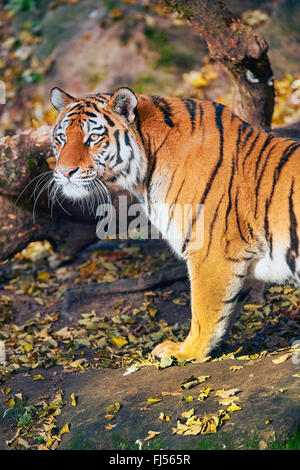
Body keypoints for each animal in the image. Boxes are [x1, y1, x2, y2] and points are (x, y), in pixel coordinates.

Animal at [48, 86, 300, 362]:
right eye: (61, 138)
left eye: (93, 137)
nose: (64, 172)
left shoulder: (210, 251)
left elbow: (204, 311)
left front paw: (186, 351)